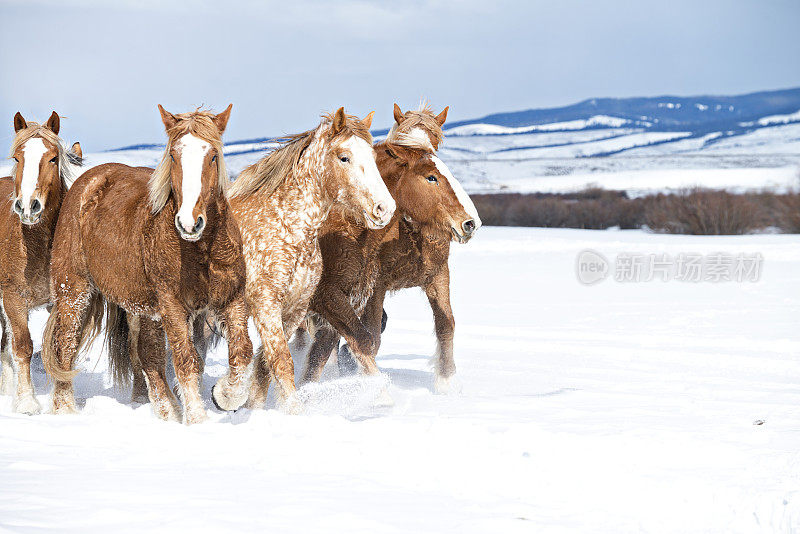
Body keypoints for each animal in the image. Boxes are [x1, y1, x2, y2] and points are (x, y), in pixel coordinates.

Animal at [0, 112, 82, 414]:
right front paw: (26, 403)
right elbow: (23, 346)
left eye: (53, 159)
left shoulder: (60, 300)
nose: (27, 206)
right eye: (17, 158)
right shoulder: (13, 298)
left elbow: (58, 347)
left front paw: (63, 403)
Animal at [41, 104, 253, 426]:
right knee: (65, 346)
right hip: (74, 291)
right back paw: (65, 410)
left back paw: (167, 410)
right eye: (174, 156)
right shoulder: (173, 305)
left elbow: (241, 354)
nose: (189, 223)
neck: (200, 250)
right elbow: (186, 360)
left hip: (146, 311)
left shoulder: (232, 299)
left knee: (148, 356)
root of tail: (86, 182)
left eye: (213, 156)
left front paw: (224, 396)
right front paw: (198, 420)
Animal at [227, 108, 396, 410]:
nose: (384, 208)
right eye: (344, 157)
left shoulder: (294, 308)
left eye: (373, 157)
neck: (286, 227)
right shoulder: (266, 304)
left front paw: (252, 406)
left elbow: (265, 364)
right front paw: (293, 411)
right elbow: (281, 361)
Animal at [296, 104, 478, 396]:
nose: (470, 223)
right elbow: (368, 336)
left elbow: (445, 324)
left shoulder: (437, 274)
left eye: (436, 143)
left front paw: (447, 382)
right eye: (431, 177)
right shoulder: (374, 287)